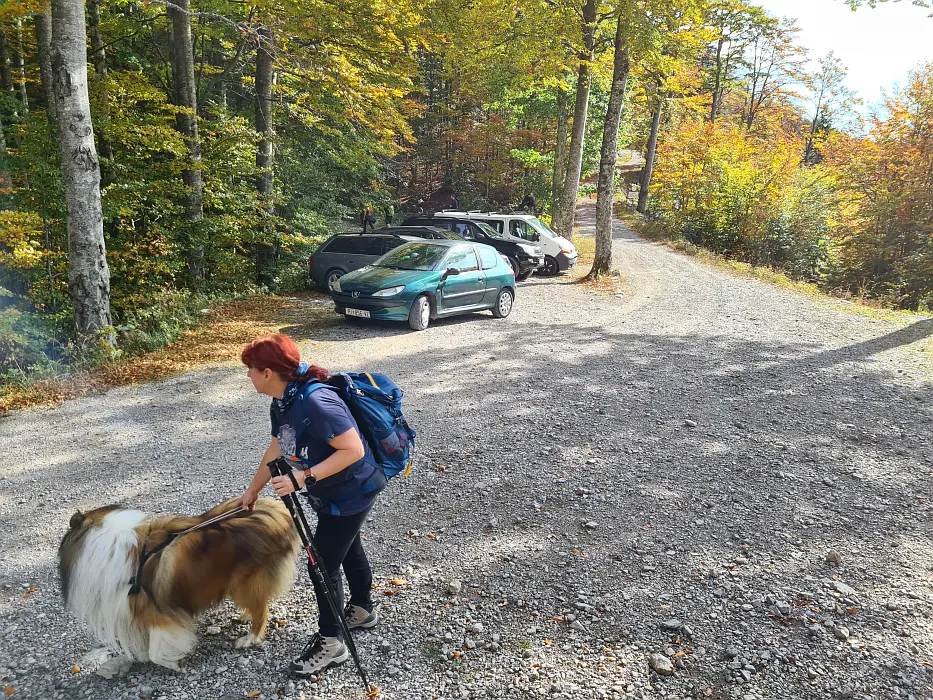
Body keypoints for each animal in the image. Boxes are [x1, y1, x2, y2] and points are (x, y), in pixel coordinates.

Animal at [57, 494, 298, 668]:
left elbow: (156, 651)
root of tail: (279, 511)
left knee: (261, 610)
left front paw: (175, 664)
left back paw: (250, 638)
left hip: (244, 584)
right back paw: (243, 616)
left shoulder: (156, 612)